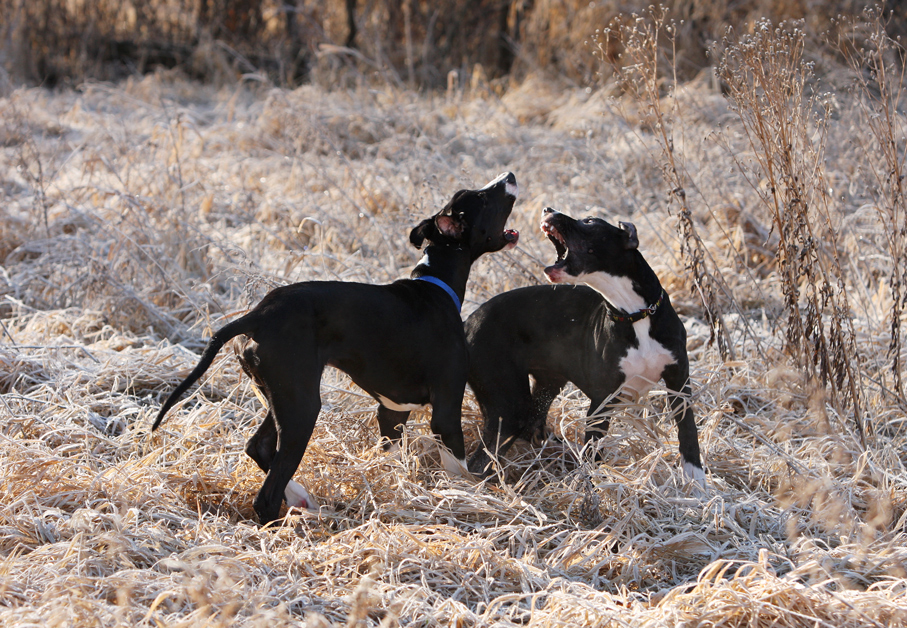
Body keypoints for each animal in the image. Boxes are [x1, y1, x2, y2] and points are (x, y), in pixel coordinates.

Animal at [151, 174, 516, 524]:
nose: (509, 175)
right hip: (302, 408)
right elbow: (458, 470)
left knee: (259, 446)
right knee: (266, 496)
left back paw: (302, 498)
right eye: (483, 199)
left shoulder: (392, 412)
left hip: (282, 397)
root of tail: (259, 315)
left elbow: (391, 456)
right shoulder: (446, 413)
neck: (435, 284)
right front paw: (470, 500)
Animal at [464, 209, 704, 488]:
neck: (634, 314)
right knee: (480, 462)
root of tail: (467, 322)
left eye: (590, 221)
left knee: (532, 428)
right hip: (508, 405)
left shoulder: (679, 383)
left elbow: (688, 432)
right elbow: (592, 450)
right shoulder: (602, 401)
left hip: (546, 385)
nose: (548, 210)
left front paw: (698, 484)